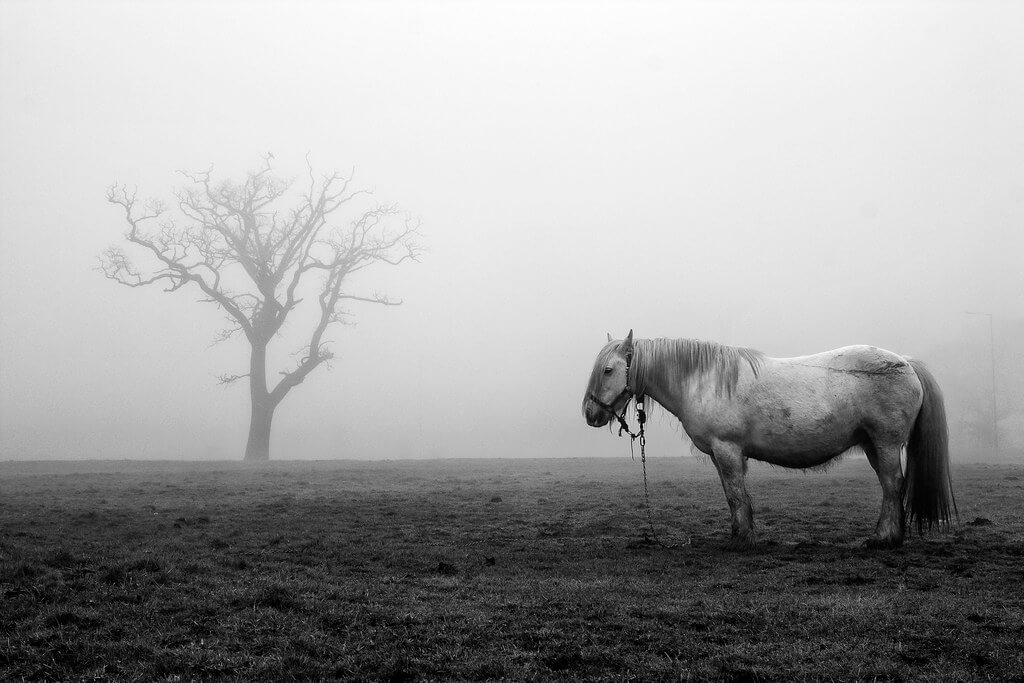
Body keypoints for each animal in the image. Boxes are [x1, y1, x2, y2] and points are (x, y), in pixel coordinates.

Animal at [589, 331, 954, 548]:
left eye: (608, 370)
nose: (591, 414)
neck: (705, 380)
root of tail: (906, 363)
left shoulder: (727, 450)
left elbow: (736, 494)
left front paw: (742, 538)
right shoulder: (724, 454)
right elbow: (734, 495)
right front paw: (742, 533)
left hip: (886, 443)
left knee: (893, 484)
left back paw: (883, 538)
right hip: (872, 445)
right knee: (890, 486)